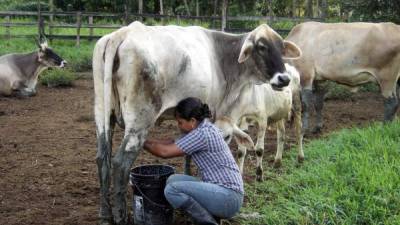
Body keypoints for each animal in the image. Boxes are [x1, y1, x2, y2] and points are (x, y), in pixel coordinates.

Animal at [93, 21, 300, 225]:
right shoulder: (215, 115)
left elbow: (187, 153)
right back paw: (120, 217)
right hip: (139, 121)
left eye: (281, 48)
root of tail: (122, 33)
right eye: (262, 47)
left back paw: (105, 215)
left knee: (102, 159)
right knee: (120, 163)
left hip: (103, 116)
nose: (284, 79)